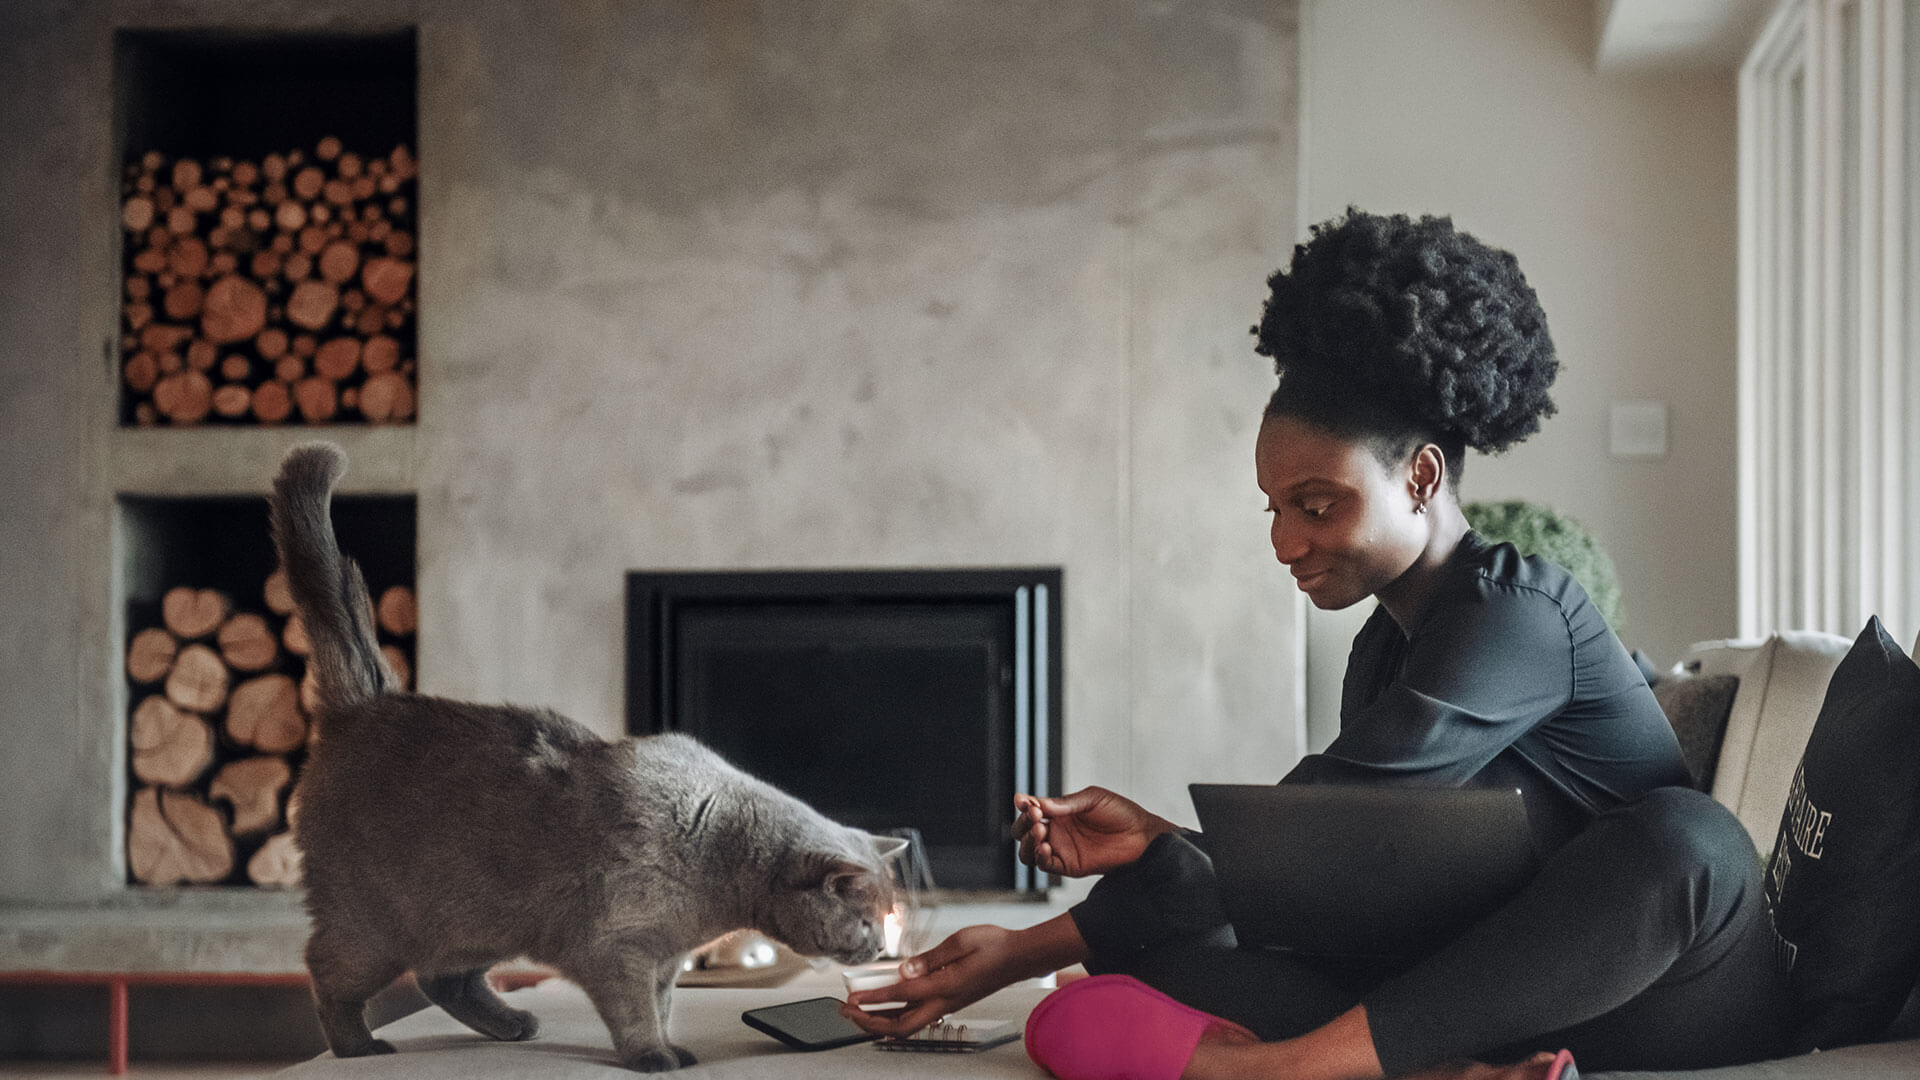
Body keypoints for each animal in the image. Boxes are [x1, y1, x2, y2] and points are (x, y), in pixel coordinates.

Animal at [266, 441, 902, 1060]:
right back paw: (360, 1047)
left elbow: (663, 1004)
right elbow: (635, 1011)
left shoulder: (665, 957)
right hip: (375, 927)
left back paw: (513, 1025)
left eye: (885, 917)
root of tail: (366, 702)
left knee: (442, 978)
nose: (879, 951)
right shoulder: (619, 947)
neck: (719, 858)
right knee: (329, 971)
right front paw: (654, 1057)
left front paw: (669, 1044)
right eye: (865, 920)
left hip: (476, 921)